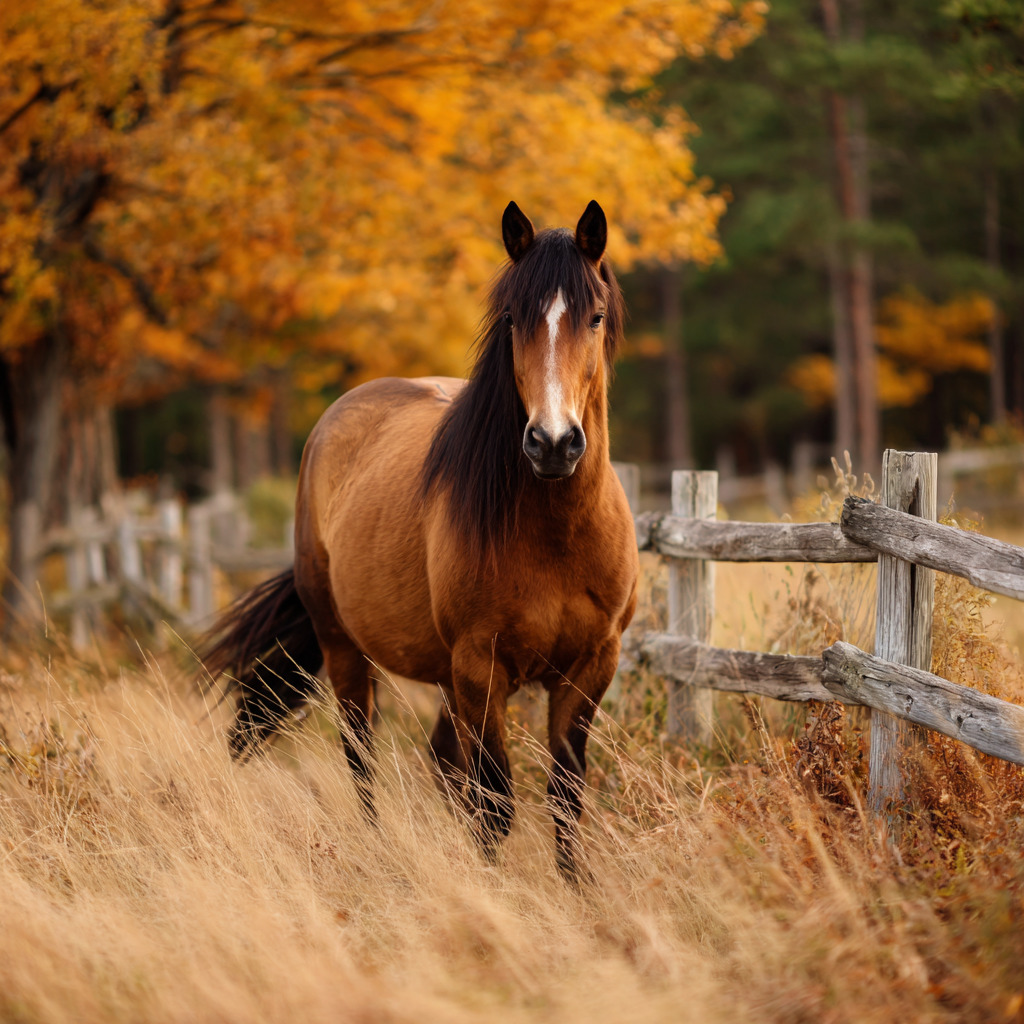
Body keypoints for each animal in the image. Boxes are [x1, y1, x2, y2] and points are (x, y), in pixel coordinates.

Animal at [201, 200, 639, 880]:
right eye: (513, 319)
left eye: (593, 316)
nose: (553, 443)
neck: (557, 538)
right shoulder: (481, 667)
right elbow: (496, 804)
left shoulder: (589, 668)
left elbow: (564, 798)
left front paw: (575, 893)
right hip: (347, 648)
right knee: (361, 751)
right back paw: (375, 847)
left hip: (446, 678)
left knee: (441, 763)